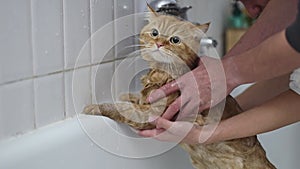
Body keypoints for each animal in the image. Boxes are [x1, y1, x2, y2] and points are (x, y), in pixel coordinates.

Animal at [83, 5, 276, 168]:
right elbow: (137, 97)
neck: (162, 73)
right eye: (154, 33)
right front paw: (127, 95)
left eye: (174, 40)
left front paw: (95, 107)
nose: (159, 44)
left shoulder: (151, 114)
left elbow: (120, 108)